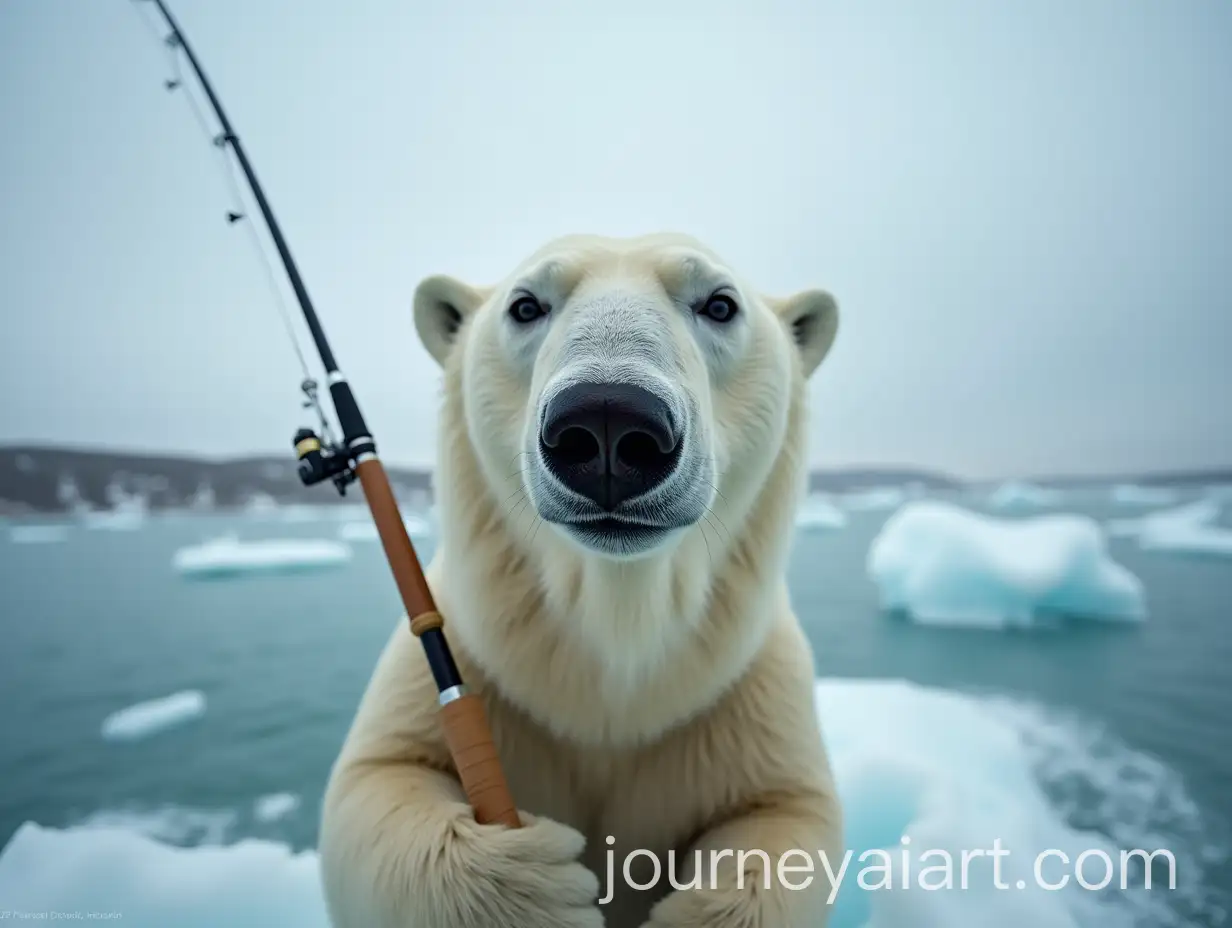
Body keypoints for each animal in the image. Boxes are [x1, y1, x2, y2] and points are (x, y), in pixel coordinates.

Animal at [318, 232, 844, 928]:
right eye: (525, 304)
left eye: (720, 303)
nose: (608, 422)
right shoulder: (464, 660)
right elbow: (374, 780)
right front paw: (542, 890)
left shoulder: (746, 693)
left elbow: (791, 814)